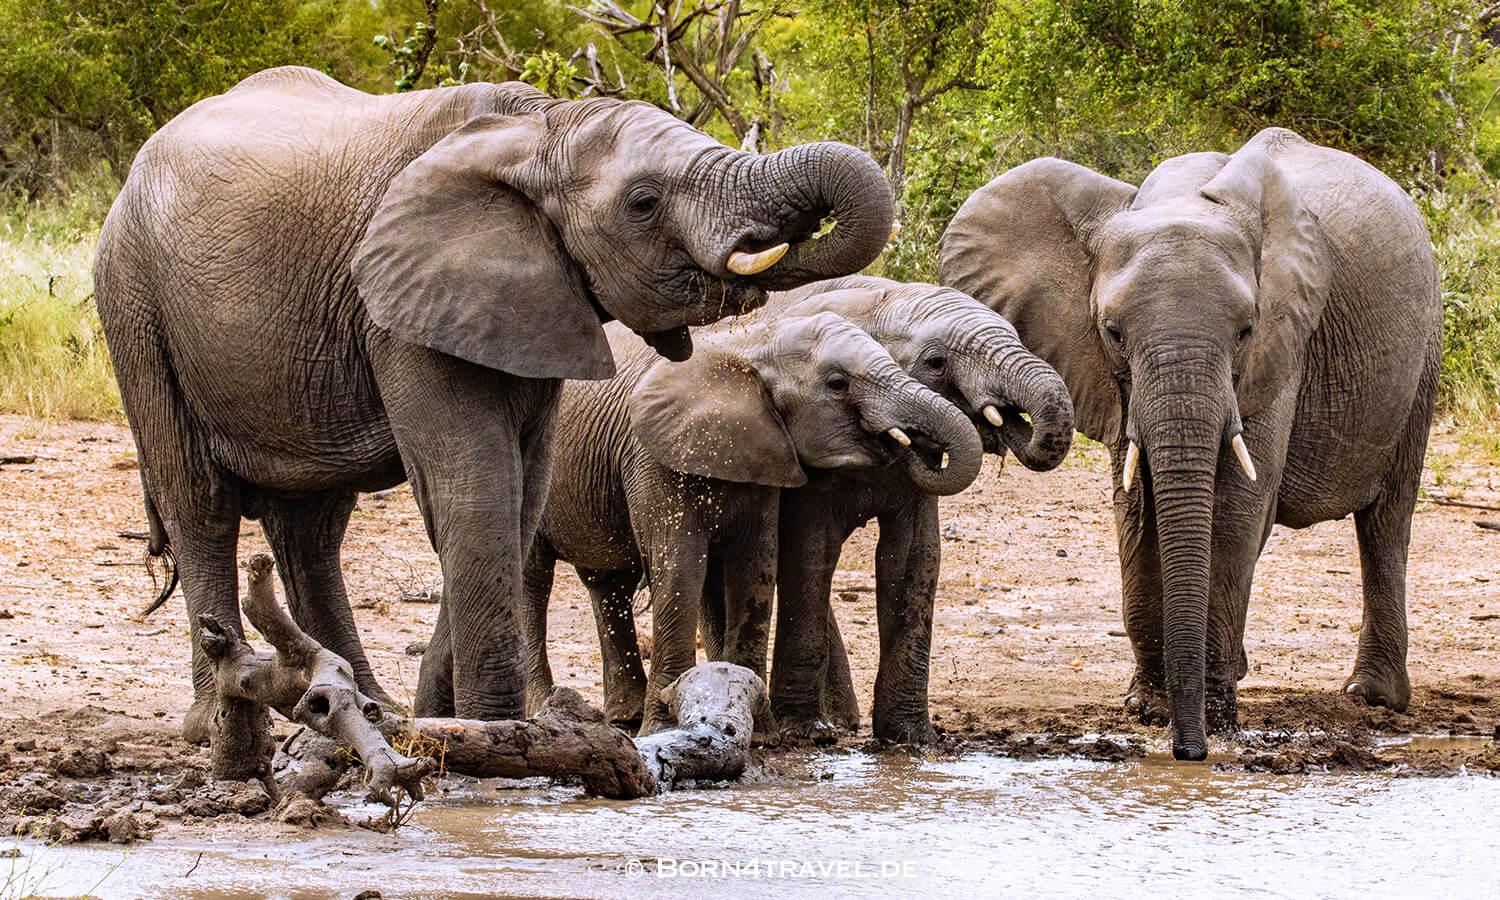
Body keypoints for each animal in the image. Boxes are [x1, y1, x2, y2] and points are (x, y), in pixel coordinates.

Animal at [92, 65, 895, 742]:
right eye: (642, 204)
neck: (539, 129)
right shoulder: (402, 300)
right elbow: (474, 483)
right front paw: (496, 729)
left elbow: (522, 493)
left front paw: (453, 718)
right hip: (133, 299)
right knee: (199, 501)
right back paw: (219, 723)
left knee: (310, 527)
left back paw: (358, 708)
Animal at [490, 313, 983, 735]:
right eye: (837, 384)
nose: (913, 443)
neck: (751, 345)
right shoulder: (652, 453)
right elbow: (680, 564)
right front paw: (665, 728)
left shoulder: (765, 451)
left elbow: (756, 564)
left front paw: (758, 731)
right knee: (534, 578)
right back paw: (546, 705)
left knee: (608, 583)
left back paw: (624, 716)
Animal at [734, 276, 1075, 744]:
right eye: (936, 362)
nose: (1003, 422)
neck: (882, 302)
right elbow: (811, 551)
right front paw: (805, 732)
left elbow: (914, 559)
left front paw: (910, 738)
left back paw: (843, 720)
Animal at [940, 127, 1441, 760]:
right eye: (1112, 331)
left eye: (1246, 330)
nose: (1188, 754)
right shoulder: (1116, 380)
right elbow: (1137, 510)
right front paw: (1148, 709)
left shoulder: (1283, 344)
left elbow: (1234, 513)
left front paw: (1217, 718)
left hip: (1424, 352)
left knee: (1386, 520)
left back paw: (1371, 697)